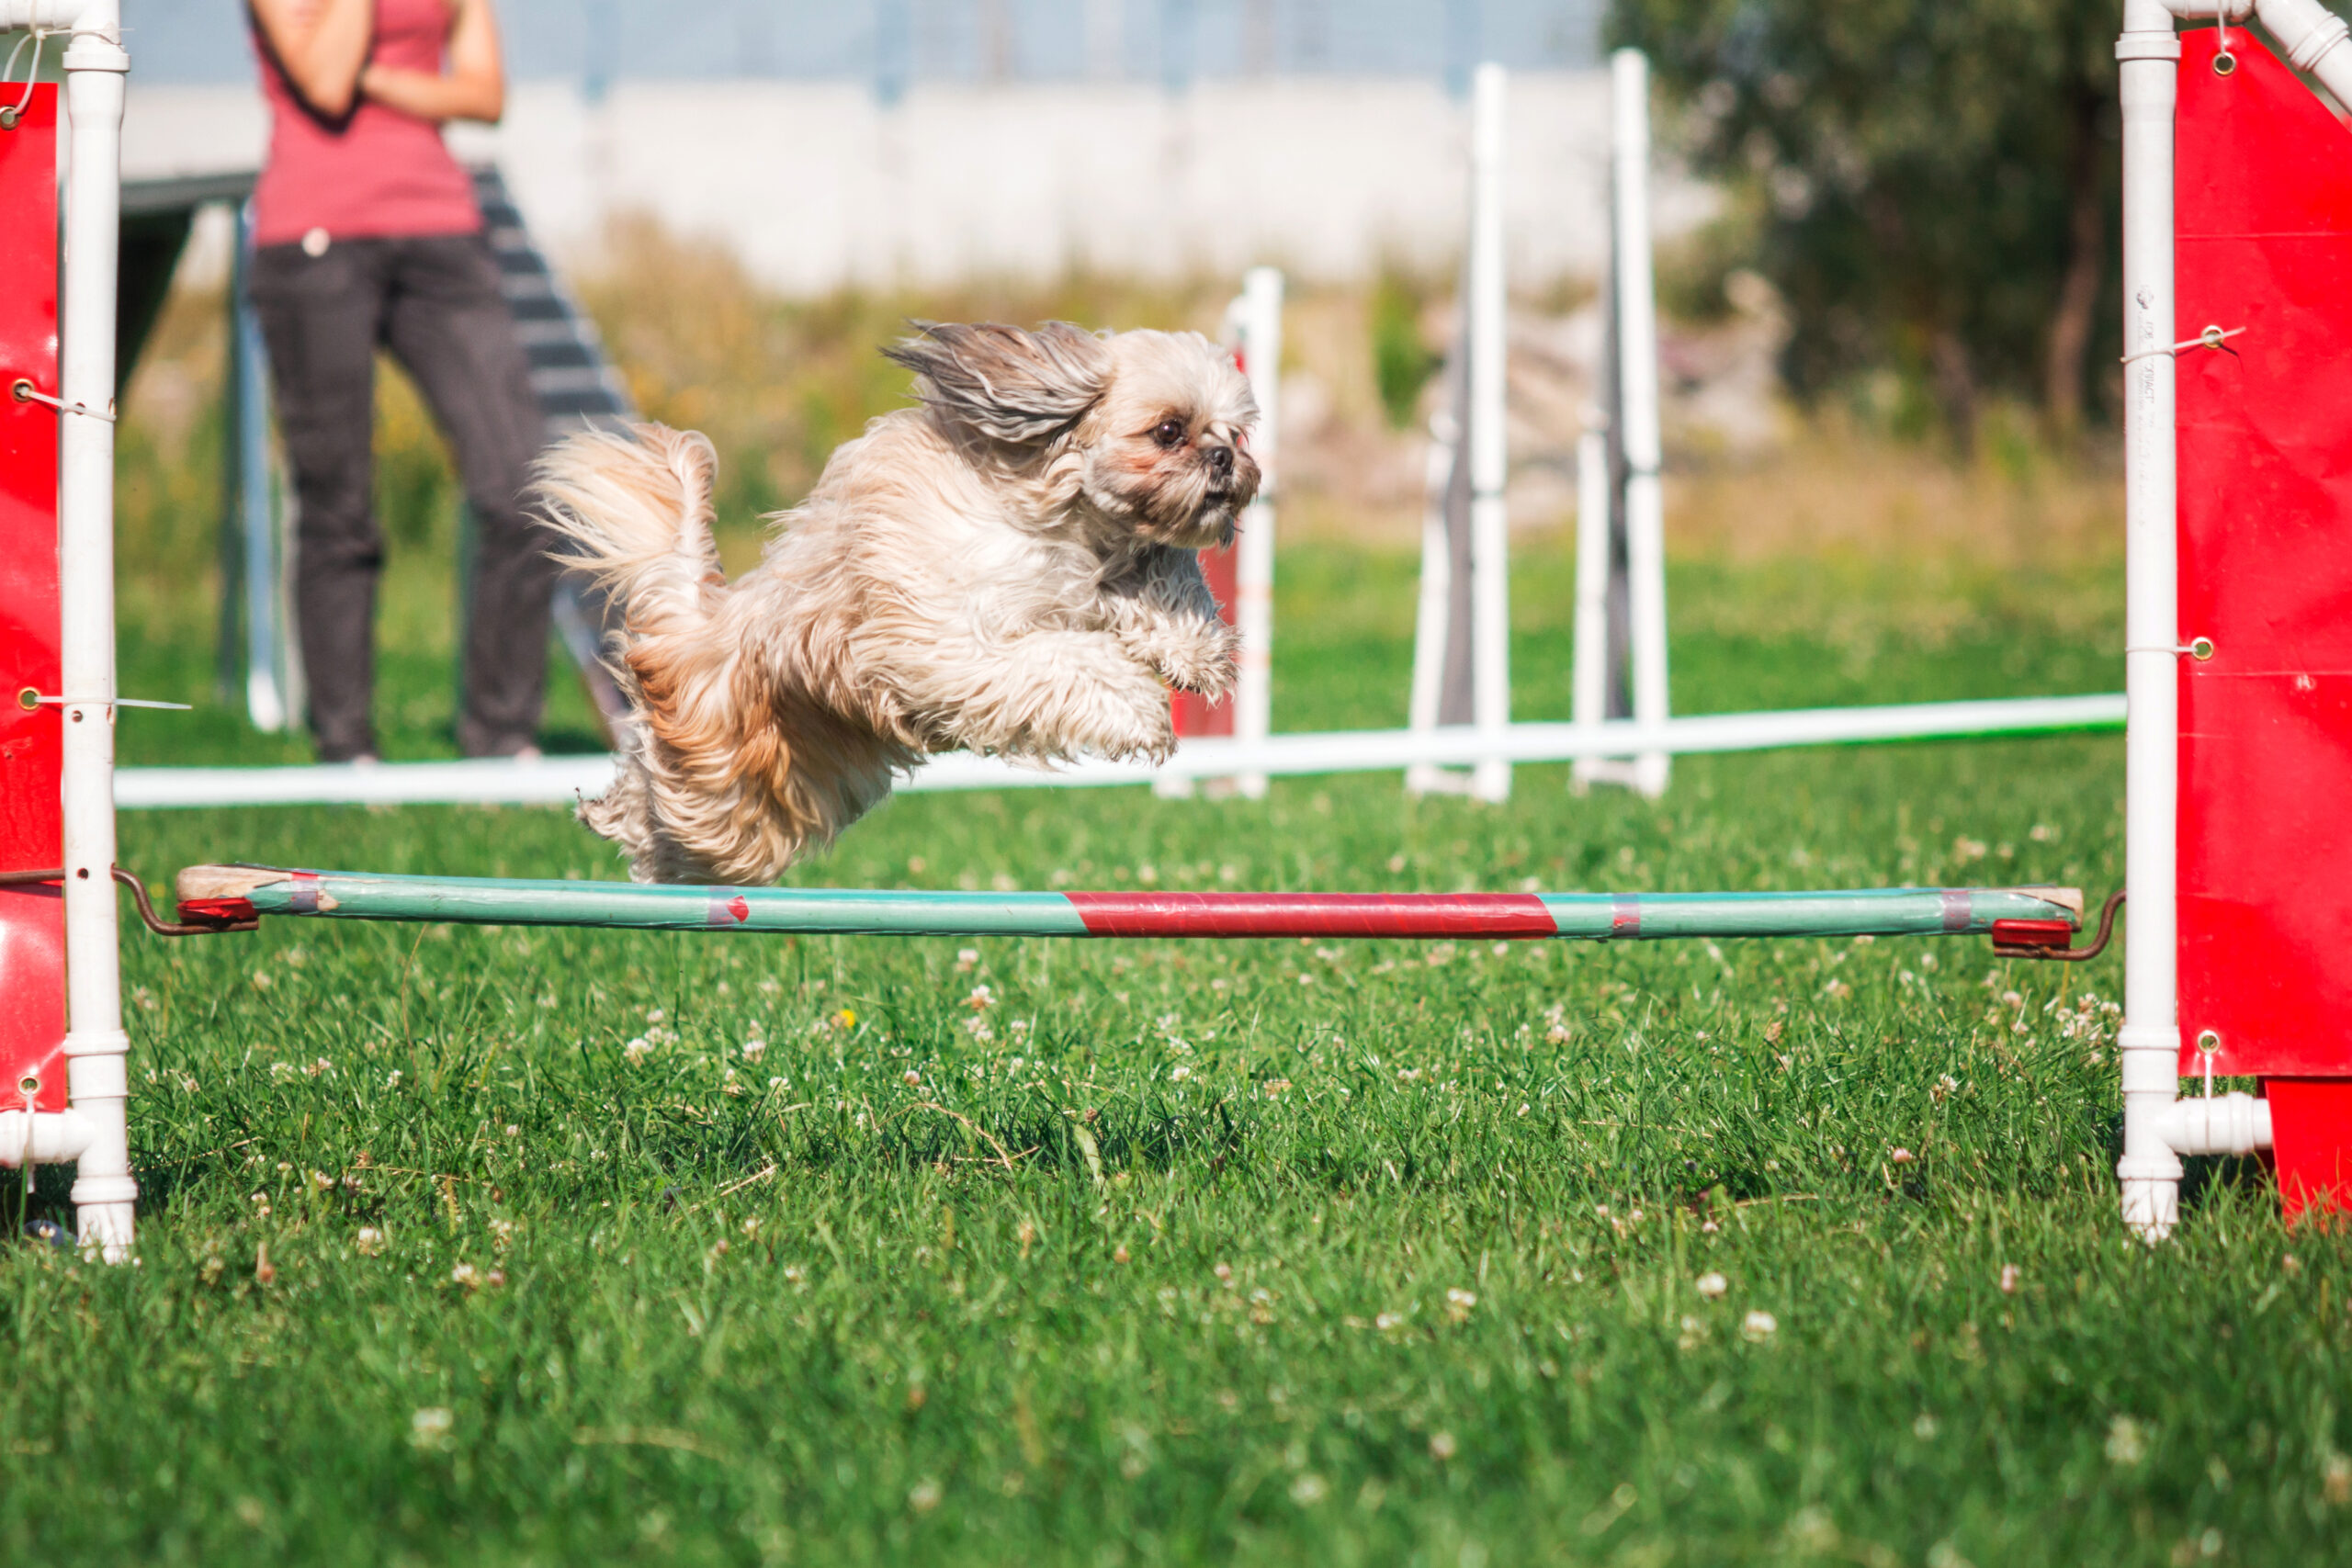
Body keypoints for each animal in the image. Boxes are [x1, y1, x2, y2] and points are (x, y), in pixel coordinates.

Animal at [538, 320, 1270, 884]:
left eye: (1235, 433)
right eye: (1169, 430)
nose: (1223, 461)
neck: (1062, 525)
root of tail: (703, 626)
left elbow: (1161, 573)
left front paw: (1193, 650)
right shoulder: (949, 641)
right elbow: (1065, 663)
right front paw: (1141, 710)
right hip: (726, 789)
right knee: (659, 802)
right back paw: (613, 816)